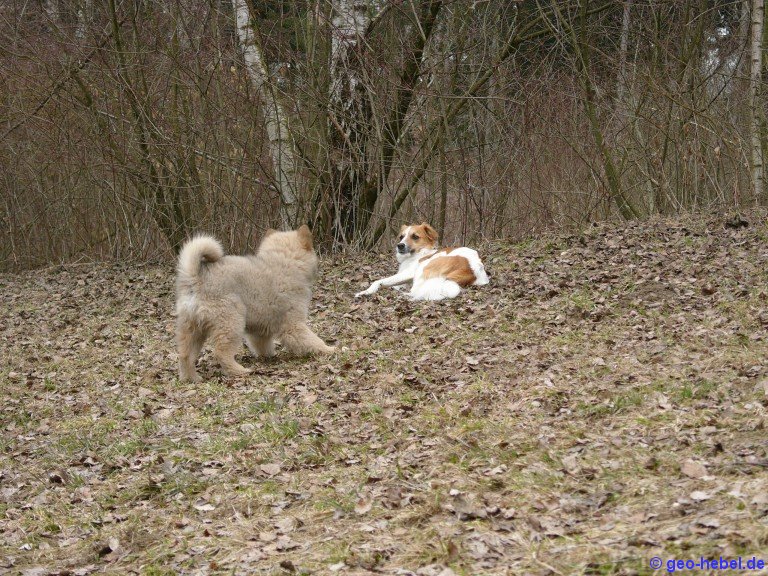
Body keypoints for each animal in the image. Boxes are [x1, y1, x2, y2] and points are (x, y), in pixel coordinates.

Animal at [175, 225, 334, 382]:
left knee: (185, 355)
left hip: (193, 329)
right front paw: (330, 349)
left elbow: (262, 345)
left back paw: (191, 378)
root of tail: (196, 278)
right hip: (231, 322)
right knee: (221, 352)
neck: (285, 260)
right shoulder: (293, 325)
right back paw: (239, 371)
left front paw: (268, 356)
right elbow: (312, 340)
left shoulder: (260, 329)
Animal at [355, 223, 489, 301]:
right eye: (401, 236)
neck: (419, 252)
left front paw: (366, 291)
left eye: (415, 236)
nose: (400, 245)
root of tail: (471, 269)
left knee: (414, 291)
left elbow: (378, 281)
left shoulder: (408, 273)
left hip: (424, 266)